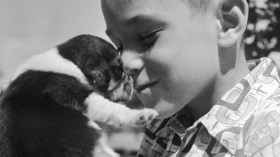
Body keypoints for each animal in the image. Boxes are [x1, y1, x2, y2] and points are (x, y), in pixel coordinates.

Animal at [0, 35, 158, 157]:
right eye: (119, 69)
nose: (130, 78)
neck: (69, 60)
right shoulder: (76, 94)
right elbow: (113, 109)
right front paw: (143, 115)